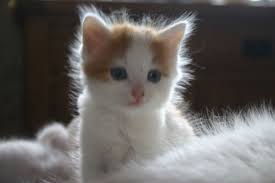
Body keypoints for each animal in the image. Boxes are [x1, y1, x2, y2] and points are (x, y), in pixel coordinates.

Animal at [71, 5, 196, 182]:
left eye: (154, 76)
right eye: (118, 73)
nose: (138, 93)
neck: (124, 120)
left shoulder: (147, 153)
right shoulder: (91, 155)